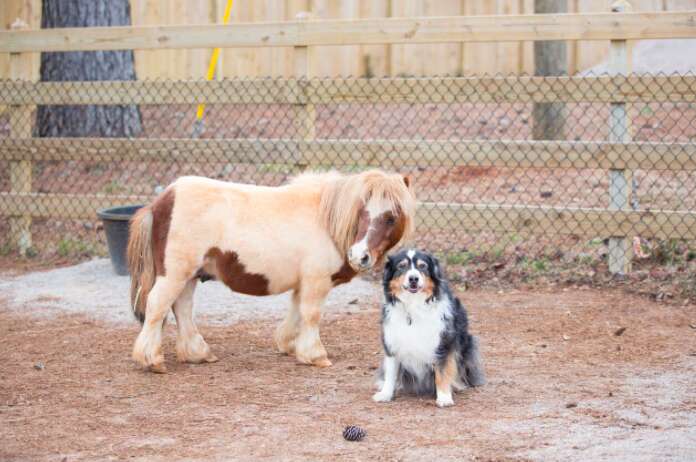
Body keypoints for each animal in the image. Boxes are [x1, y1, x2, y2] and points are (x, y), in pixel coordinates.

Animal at [128, 169, 416, 372]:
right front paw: (315, 355)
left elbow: (296, 313)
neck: (325, 220)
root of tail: (163, 200)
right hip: (175, 274)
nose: (360, 256)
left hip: (189, 275)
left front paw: (290, 346)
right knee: (157, 306)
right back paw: (152, 360)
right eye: (362, 211)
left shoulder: (304, 283)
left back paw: (198, 353)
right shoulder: (316, 281)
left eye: (391, 217)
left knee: (182, 308)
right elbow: (311, 315)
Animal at [376, 251, 484, 406]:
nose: (413, 278)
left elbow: (442, 372)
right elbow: (390, 372)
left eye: (423, 266)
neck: (414, 306)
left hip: (468, 343)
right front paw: (385, 394)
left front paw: (444, 397)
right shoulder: (391, 343)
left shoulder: (443, 343)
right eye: (401, 266)